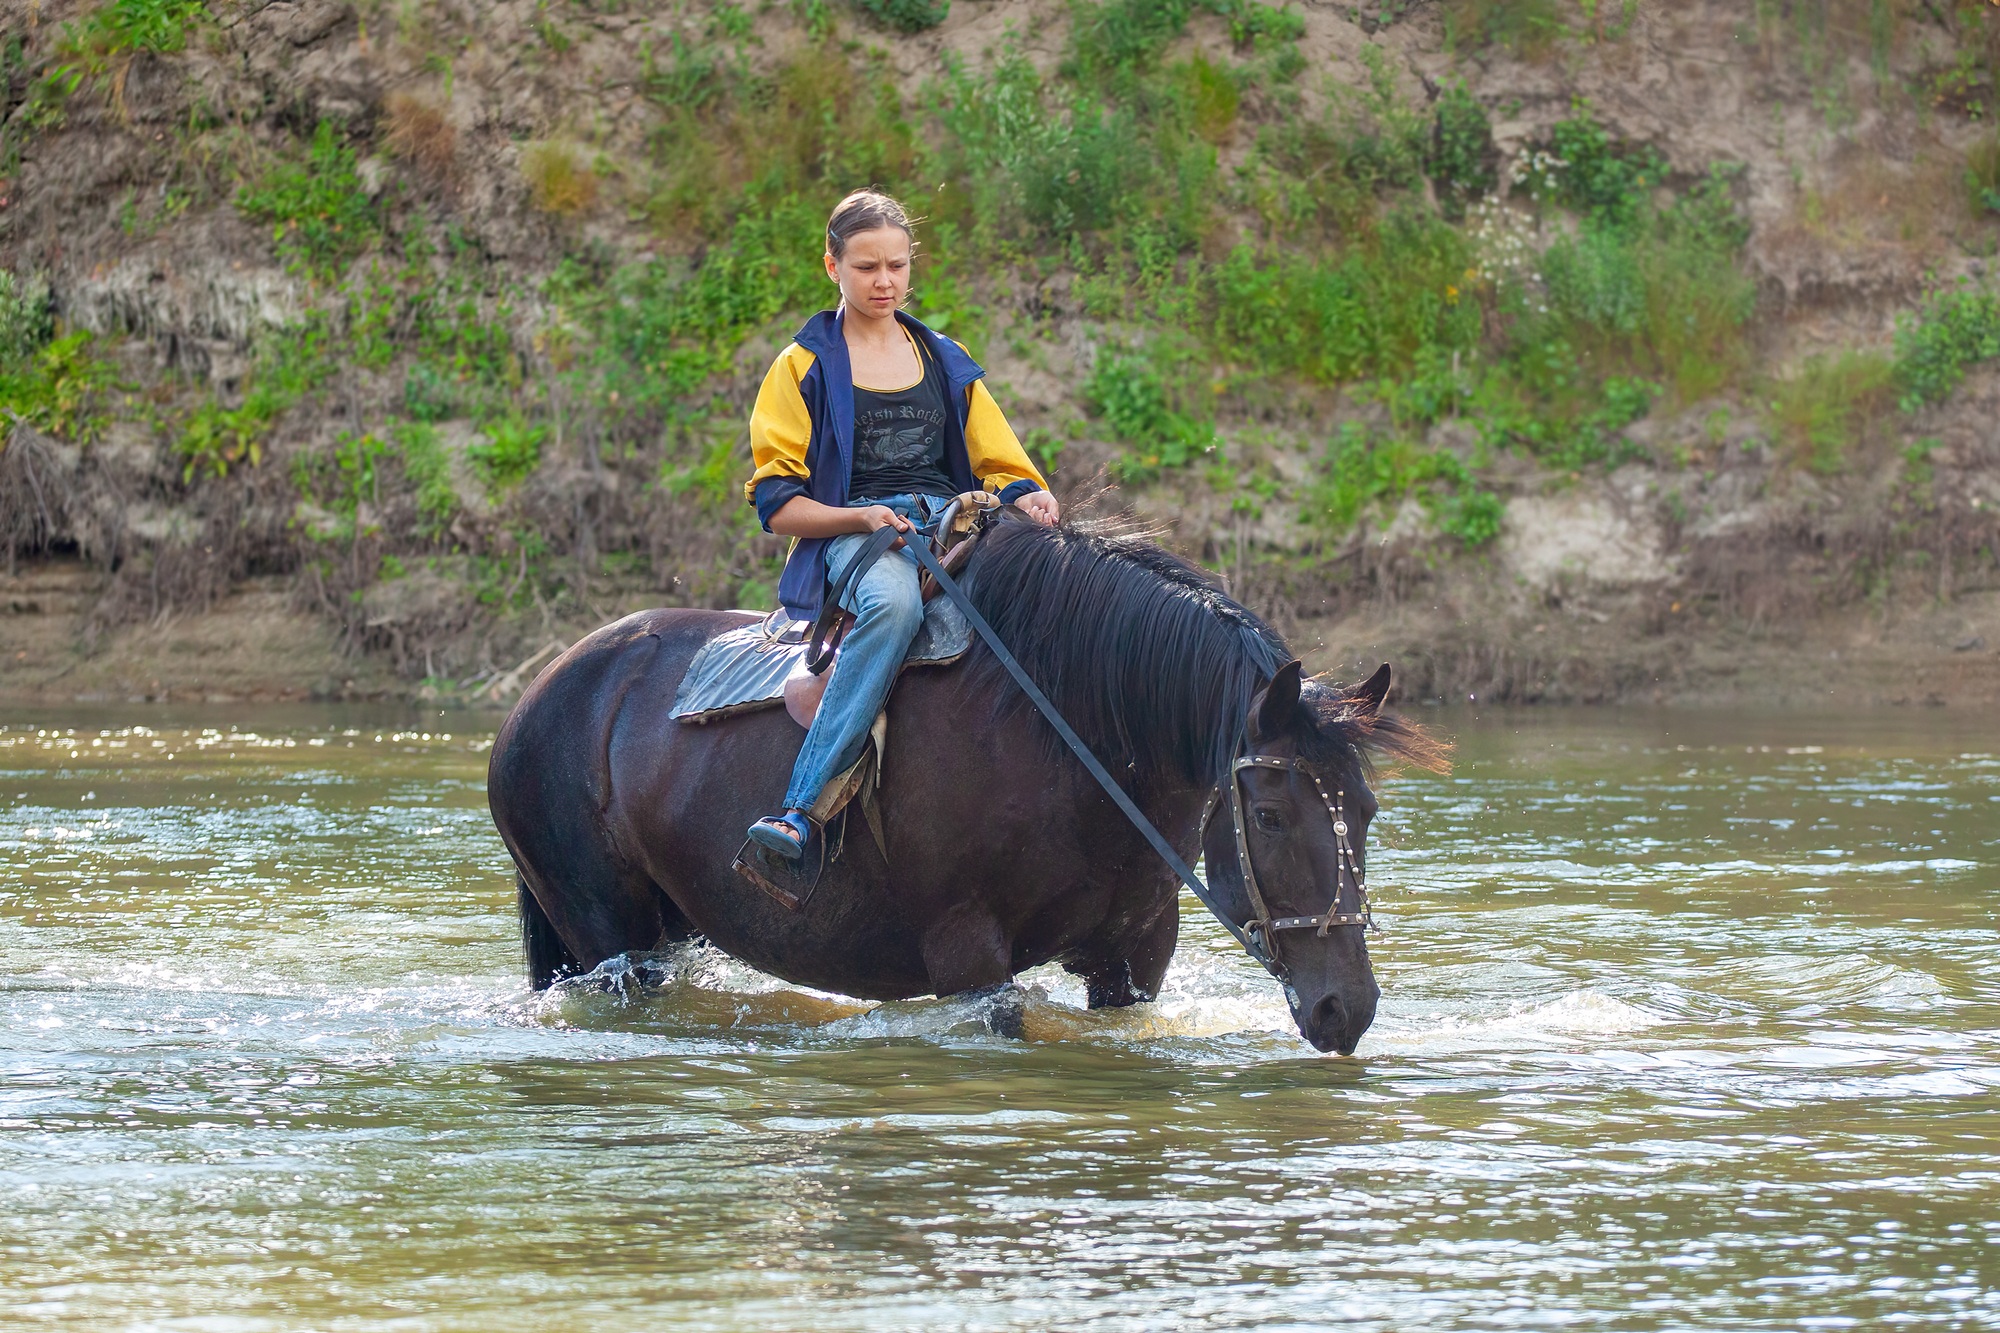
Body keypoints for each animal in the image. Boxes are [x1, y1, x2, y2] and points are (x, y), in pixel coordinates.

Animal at [492, 516, 1448, 1048]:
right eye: (1274, 813)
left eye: (1365, 811)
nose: (1349, 1006)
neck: (1069, 743)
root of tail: (535, 700)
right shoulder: (971, 961)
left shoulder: (1134, 960)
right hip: (608, 940)